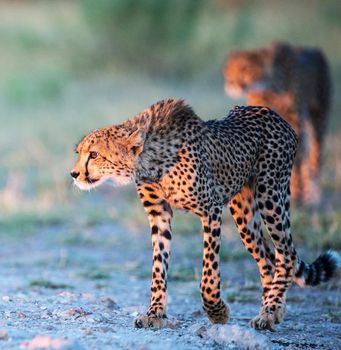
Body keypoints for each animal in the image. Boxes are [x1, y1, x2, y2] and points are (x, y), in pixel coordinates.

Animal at [70, 99, 338, 330]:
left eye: (94, 154)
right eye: (79, 152)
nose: (74, 174)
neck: (150, 160)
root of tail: (272, 113)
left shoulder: (211, 211)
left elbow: (208, 275)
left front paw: (217, 312)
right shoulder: (159, 215)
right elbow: (158, 267)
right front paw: (155, 314)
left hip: (270, 195)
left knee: (287, 255)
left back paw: (270, 312)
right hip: (243, 212)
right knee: (268, 261)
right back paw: (271, 312)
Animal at [222, 41, 330, 205]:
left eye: (245, 68)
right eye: (229, 69)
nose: (231, 83)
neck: (270, 87)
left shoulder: (296, 121)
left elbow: (297, 163)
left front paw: (298, 196)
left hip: (319, 117)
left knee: (315, 155)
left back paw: (313, 194)